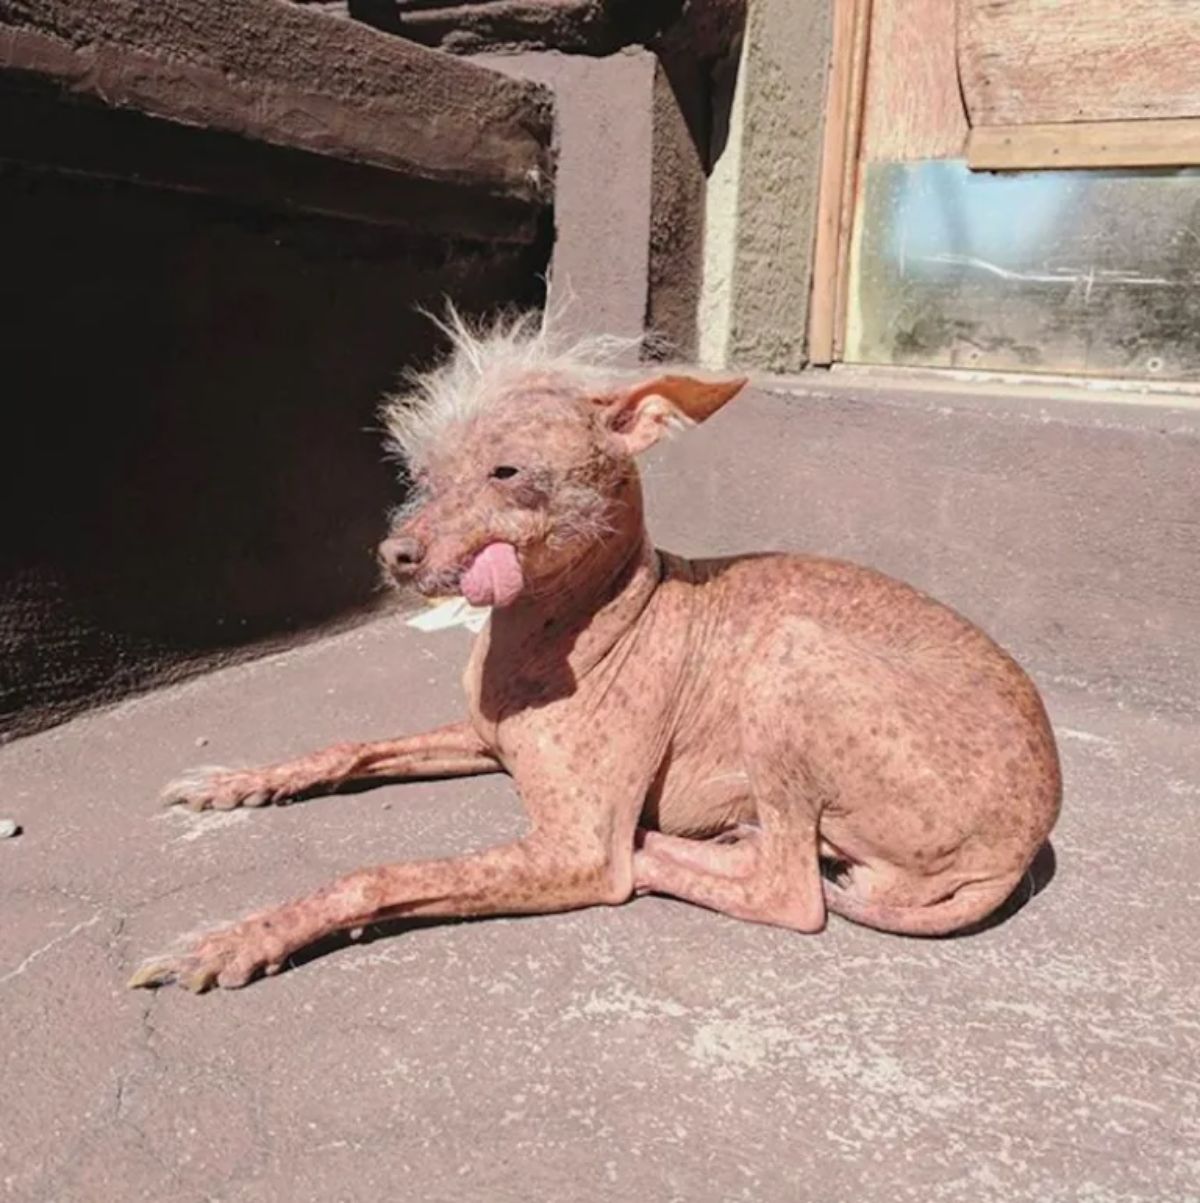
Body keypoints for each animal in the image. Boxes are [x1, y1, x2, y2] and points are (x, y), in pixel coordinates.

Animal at [134, 315, 1062, 991]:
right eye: (426, 472)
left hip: (796, 657)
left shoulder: (574, 845)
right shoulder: (481, 737)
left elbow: (373, 876)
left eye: (508, 473)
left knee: (786, 891)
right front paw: (236, 782)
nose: (394, 554)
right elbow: (347, 745)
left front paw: (241, 936)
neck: (566, 632)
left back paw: (668, 850)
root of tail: (1022, 839)